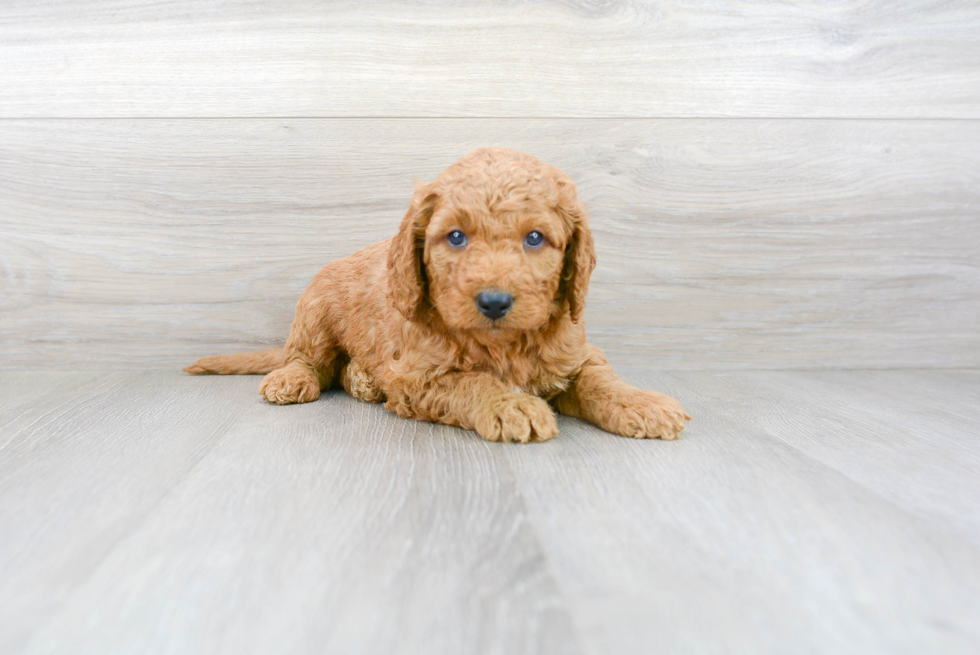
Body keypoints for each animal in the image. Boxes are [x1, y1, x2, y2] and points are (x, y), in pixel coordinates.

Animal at [186, 147, 688, 446]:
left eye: (535, 238)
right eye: (456, 236)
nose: (494, 301)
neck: (504, 344)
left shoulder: (575, 350)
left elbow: (599, 378)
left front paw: (641, 403)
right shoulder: (419, 376)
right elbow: (471, 381)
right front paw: (512, 405)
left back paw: (364, 381)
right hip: (314, 310)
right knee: (310, 360)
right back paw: (295, 379)